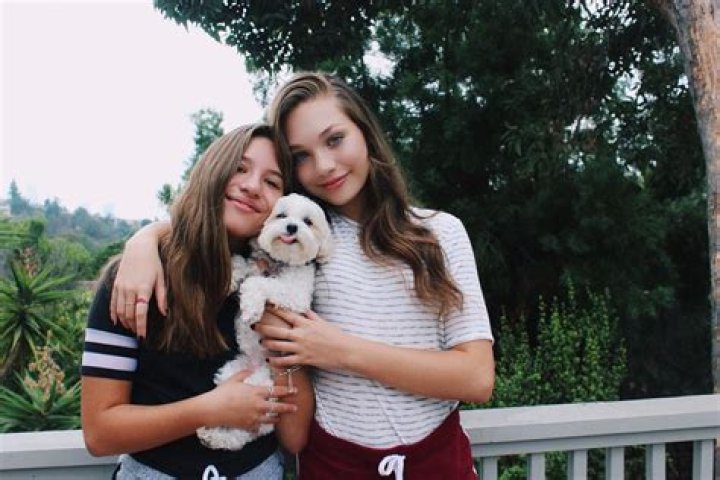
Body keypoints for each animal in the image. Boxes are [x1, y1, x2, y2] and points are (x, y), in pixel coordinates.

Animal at [197, 193, 332, 450]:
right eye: (281, 215)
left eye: (308, 222)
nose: (292, 227)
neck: (280, 263)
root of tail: (256, 366)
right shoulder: (255, 264)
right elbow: (242, 263)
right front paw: (232, 278)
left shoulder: (295, 294)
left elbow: (259, 282)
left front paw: (250, 307)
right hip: (230, 374)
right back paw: (211, 435)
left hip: (259, 388)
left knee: (252, 428)